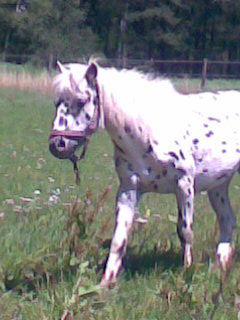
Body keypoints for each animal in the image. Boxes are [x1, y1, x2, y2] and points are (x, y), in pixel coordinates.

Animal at [47, 60, 239, 288]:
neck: (150, 131)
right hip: (218, 186)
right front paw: (105, 283)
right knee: (227, 220)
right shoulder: (129, 190)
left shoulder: (184, 184)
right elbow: (119, 238)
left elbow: (185, 231)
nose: (57, 145)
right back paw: (221, 265)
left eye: (82, 100)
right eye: (57, 102)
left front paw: (187, 273)